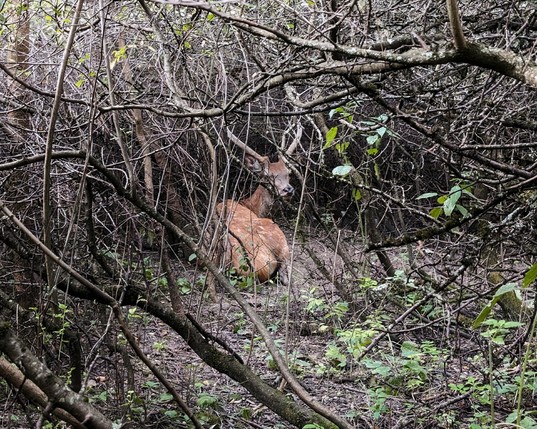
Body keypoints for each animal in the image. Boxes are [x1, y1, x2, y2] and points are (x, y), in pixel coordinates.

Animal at [215, 129, 298, 286]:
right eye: (268, 176)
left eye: (288, 174)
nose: (288, 190)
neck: (251, 205)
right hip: (278, 235)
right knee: (285, 274)